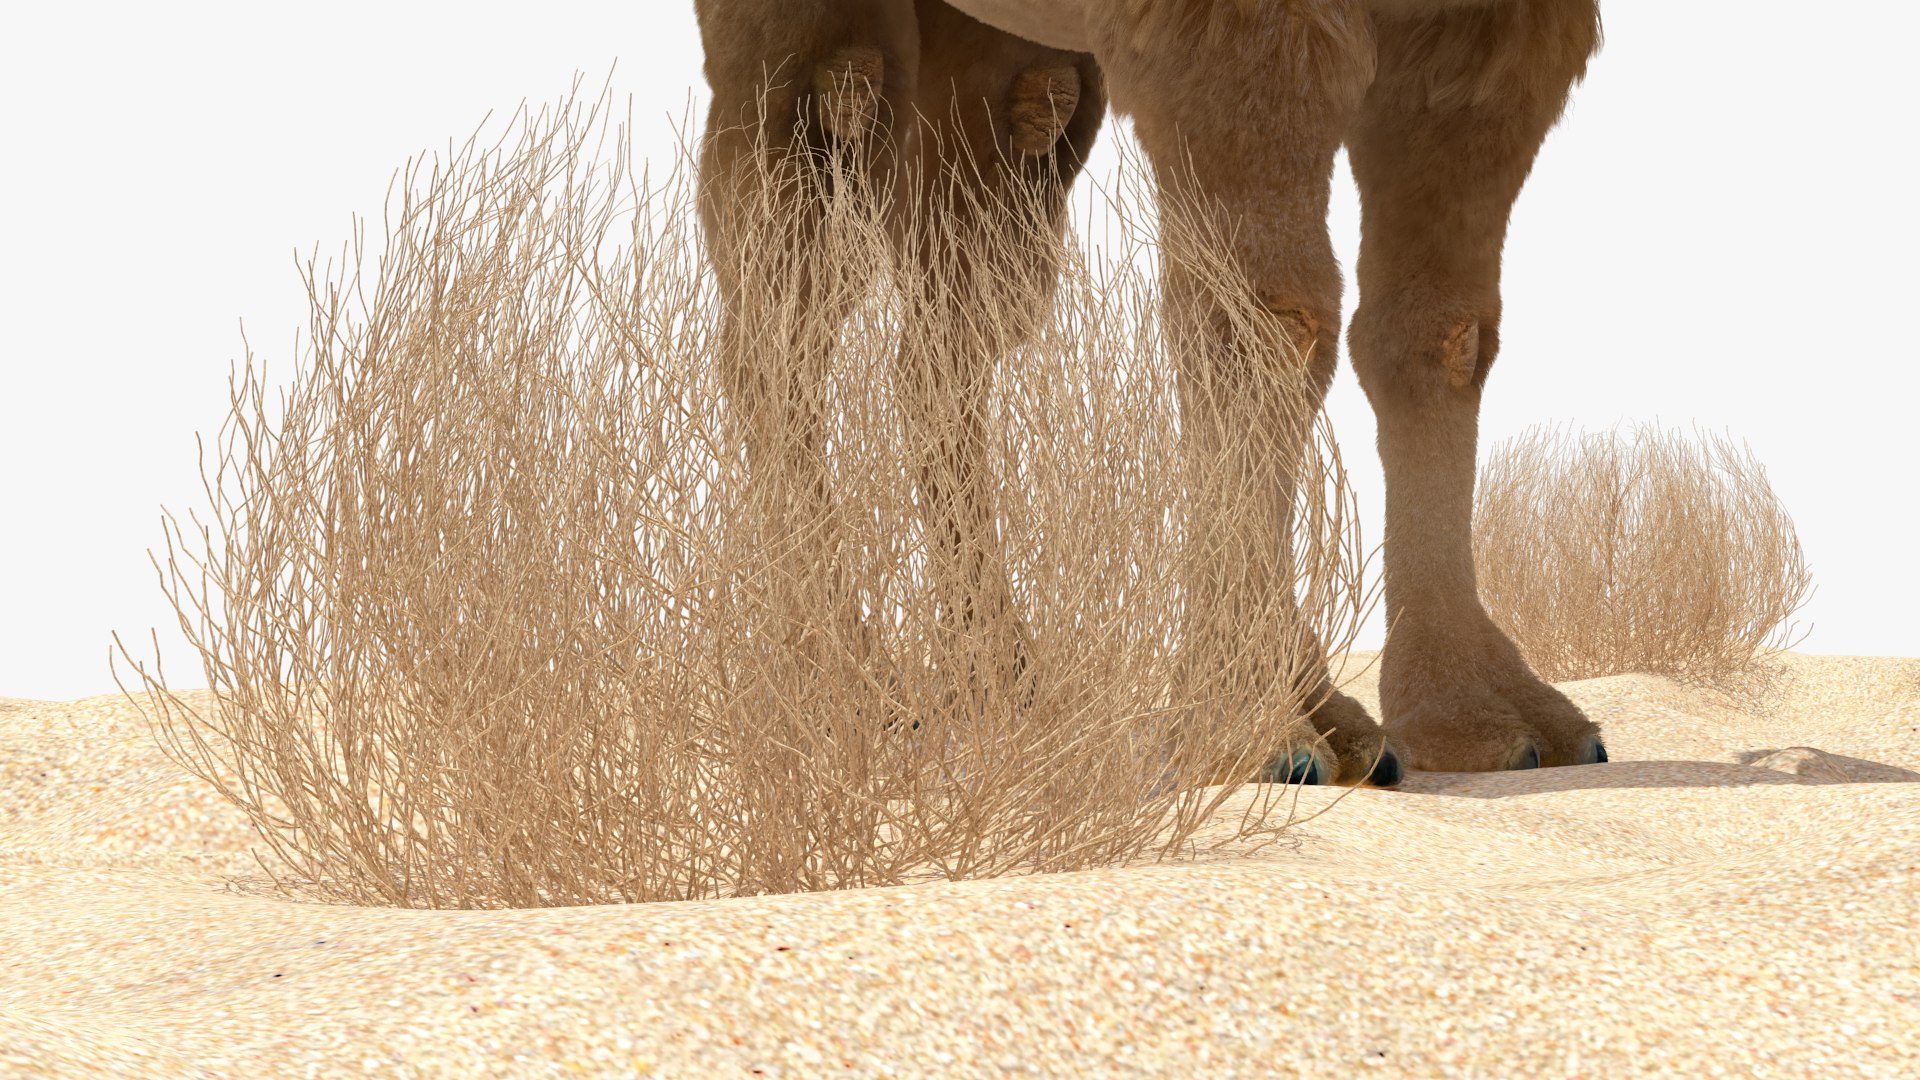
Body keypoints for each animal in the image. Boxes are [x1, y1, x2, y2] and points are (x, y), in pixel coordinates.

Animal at [691, 0, 1610, 786]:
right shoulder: (1231, 25)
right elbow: (1265, 316)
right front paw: (1258, 731)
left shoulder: (1499, 27)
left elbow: (1439, 334)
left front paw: (1484, 722)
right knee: (792, 265)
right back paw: (847, 694)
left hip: (1006, 68)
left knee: (952, 308)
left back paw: (1006, 692)